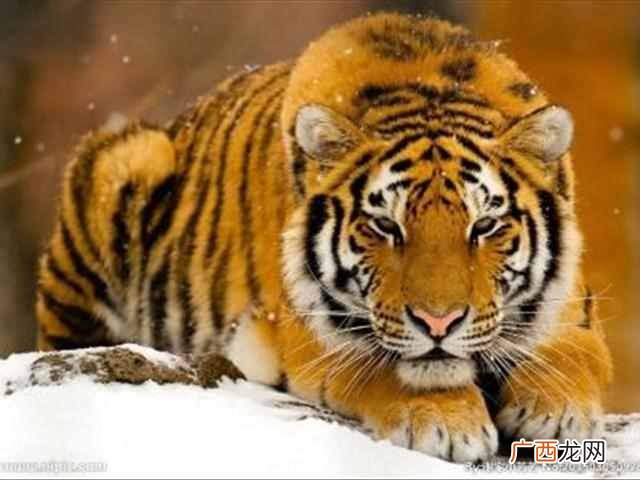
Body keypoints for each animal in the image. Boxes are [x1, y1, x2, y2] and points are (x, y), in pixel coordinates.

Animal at [36, 13, 612, 462]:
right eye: (385, 226)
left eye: (484, 225)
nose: (438, 323)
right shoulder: (307, 327)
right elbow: (386, 364)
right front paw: (446, 423)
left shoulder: (572, 306)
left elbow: (572, 352)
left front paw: (554, 410)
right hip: (124, 162)